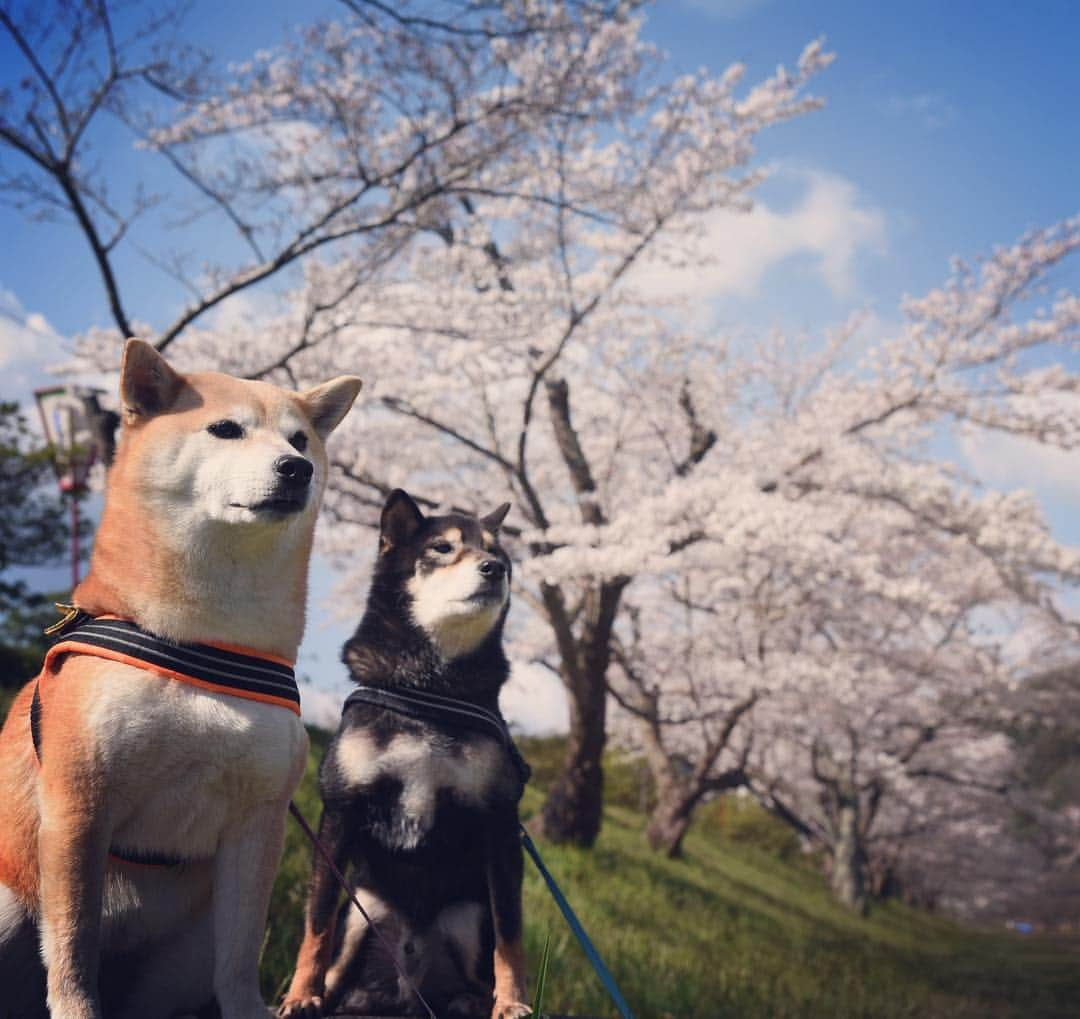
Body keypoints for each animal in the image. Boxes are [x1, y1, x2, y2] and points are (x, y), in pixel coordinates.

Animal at [0, 341, 362, 1019]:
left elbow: (240, 960)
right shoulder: (79, 804)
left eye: (300, 439)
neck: (206, 640)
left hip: (184, 956)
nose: (296, 468)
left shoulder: (259, 822)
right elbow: (71, 948)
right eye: (226, 429)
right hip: (11, 897)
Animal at [280, 490, 529, 1019]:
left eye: (500, 551)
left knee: (476, 977)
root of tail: (409, 992)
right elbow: (317, 922)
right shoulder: (340, 808)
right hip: (363, 915)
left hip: (466, 920)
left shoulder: (500, 821)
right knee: (337, 967)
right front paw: (299, 995)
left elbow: (510, 932)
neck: (428, 689)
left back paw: (473, 1002)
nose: (495, 567)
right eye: (442, 548)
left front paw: (513, 1002)